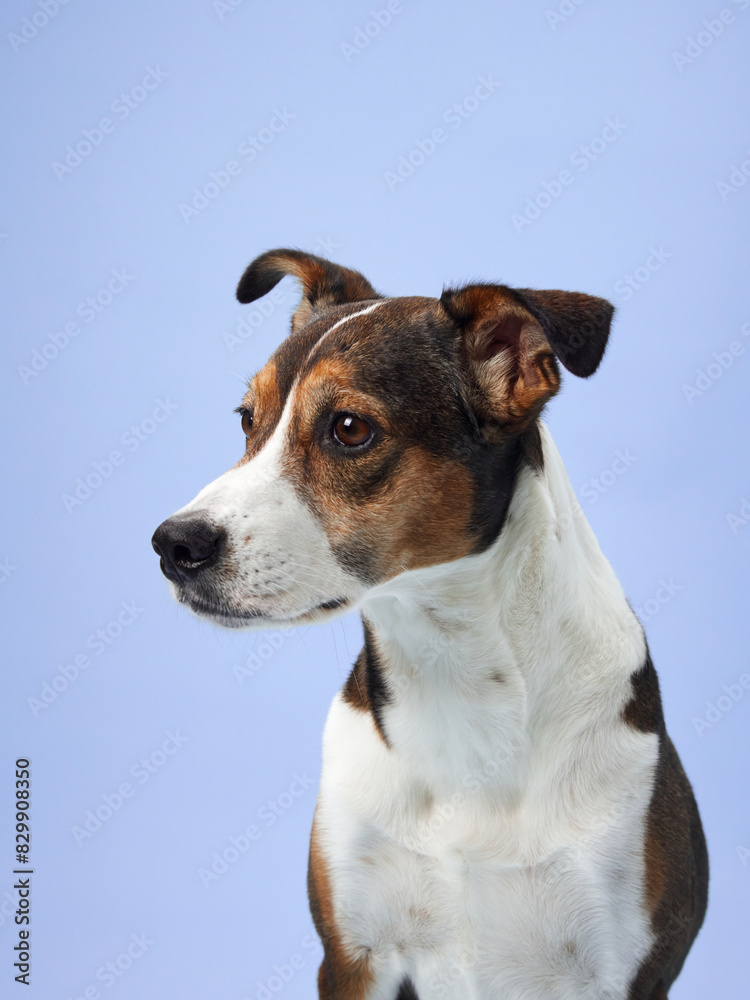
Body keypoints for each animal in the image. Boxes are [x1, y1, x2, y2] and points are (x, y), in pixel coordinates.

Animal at [154, 250, 712, 1000]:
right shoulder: (353, 956)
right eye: (247, 419)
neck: (458, 673)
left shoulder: (622, 971)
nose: (173, 545)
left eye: (349, 428)